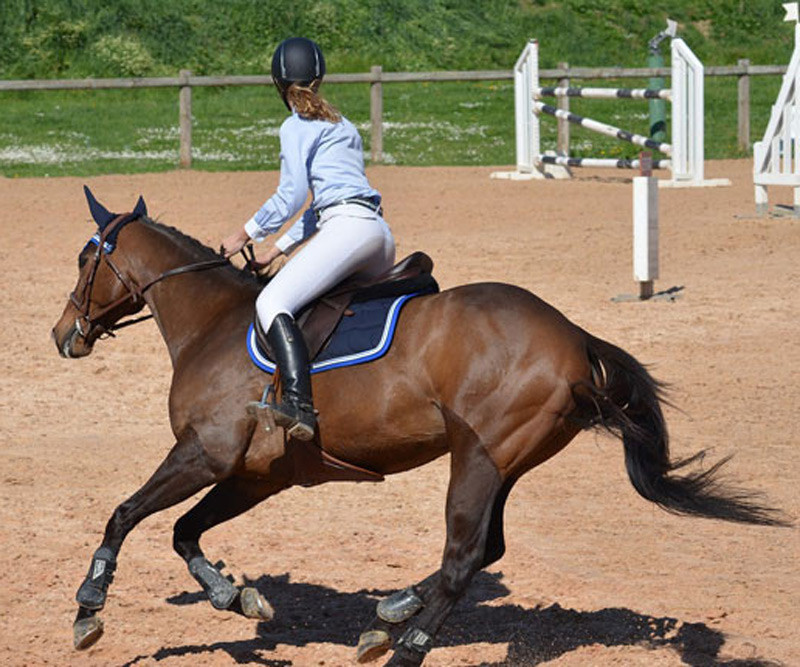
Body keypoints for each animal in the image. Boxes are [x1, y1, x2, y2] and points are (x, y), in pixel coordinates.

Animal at [51, 190, 788, 664]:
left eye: (87, 258)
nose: (63, 335)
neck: (214, 322)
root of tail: (573, 335)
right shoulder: (257, 475)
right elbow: (184, 531)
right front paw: (236, 594)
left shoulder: (204, 453)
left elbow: (125, 514)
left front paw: (89, 606)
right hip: (504, 461)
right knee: (484, 550)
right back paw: (390, 615)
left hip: (479, 457)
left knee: (464, 557)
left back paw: (405, 642)